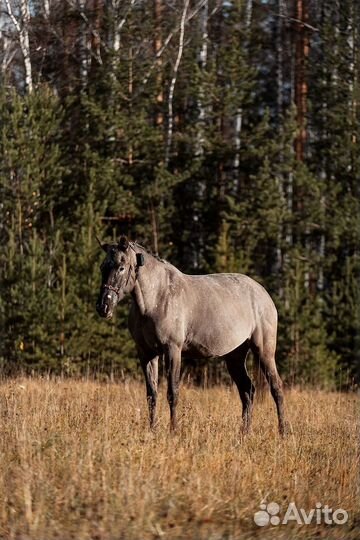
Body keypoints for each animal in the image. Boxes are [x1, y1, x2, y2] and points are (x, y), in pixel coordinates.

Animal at [95, 235, 286, 434]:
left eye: (121, 267)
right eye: (102, 267)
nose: (103, 307)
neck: (156, 298)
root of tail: (263, 293)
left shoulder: (173, 350)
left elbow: (172, 392)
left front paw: (174, 430)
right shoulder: (146, 353)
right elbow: (151, 394)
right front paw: (153, 430)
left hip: (264, 351)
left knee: (276, 388)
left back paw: (283, 431)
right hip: (235, 356)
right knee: (247, 390)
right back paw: (245, 432)